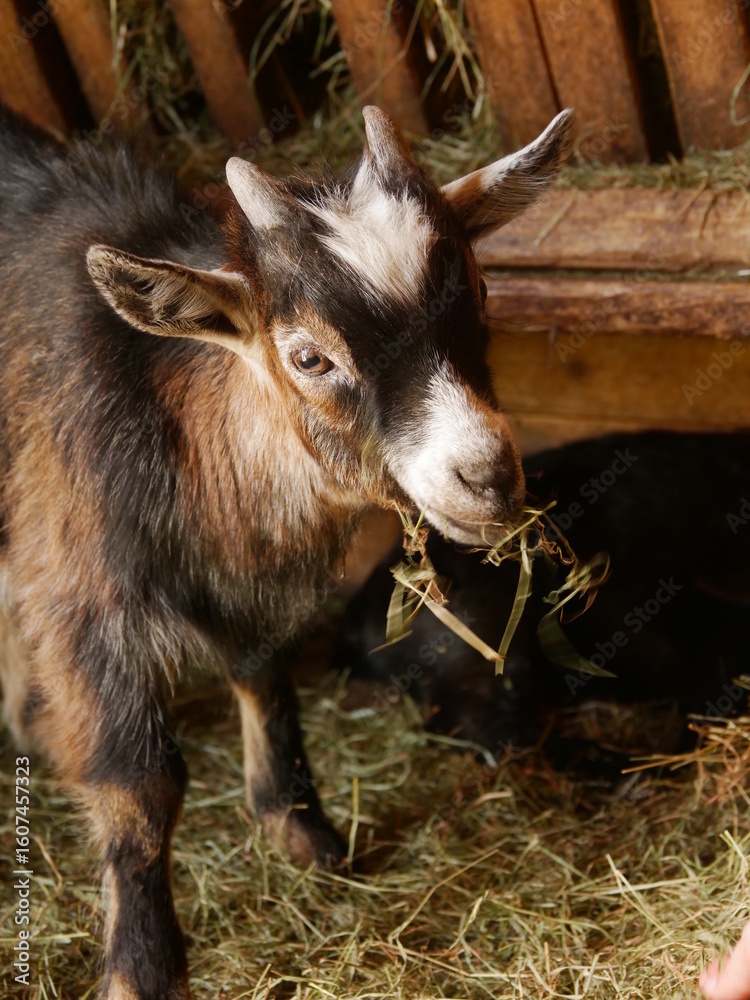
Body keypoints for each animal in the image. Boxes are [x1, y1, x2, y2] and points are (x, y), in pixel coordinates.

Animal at [0, 104, 573, 999]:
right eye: (310, 356)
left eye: (480, 290)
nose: (486, 476)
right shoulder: (85, 601)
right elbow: (140, 784)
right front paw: (142, 968)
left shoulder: (254, 589)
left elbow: (267, 684)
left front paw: (302, 833)